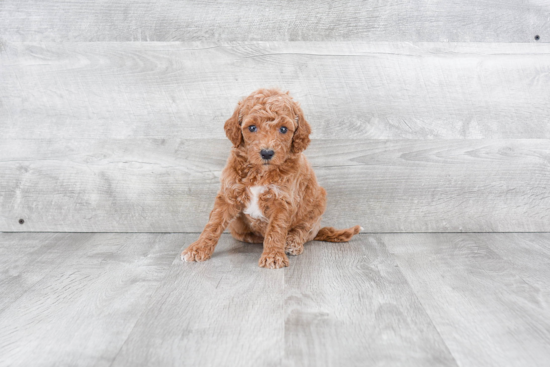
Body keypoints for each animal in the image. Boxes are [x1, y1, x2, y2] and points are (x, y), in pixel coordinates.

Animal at [181, 88, 362, 268]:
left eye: (283, 129)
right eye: (252, 127)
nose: (267, 153)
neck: (260, 172)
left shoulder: (282, 200)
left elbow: (276, 229)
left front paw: (273, 256)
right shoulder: (229, 193)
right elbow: (213, 223)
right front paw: (198, 248)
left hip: (317, 204)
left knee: (304, 230)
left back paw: (292, 243)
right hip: (238, 226)